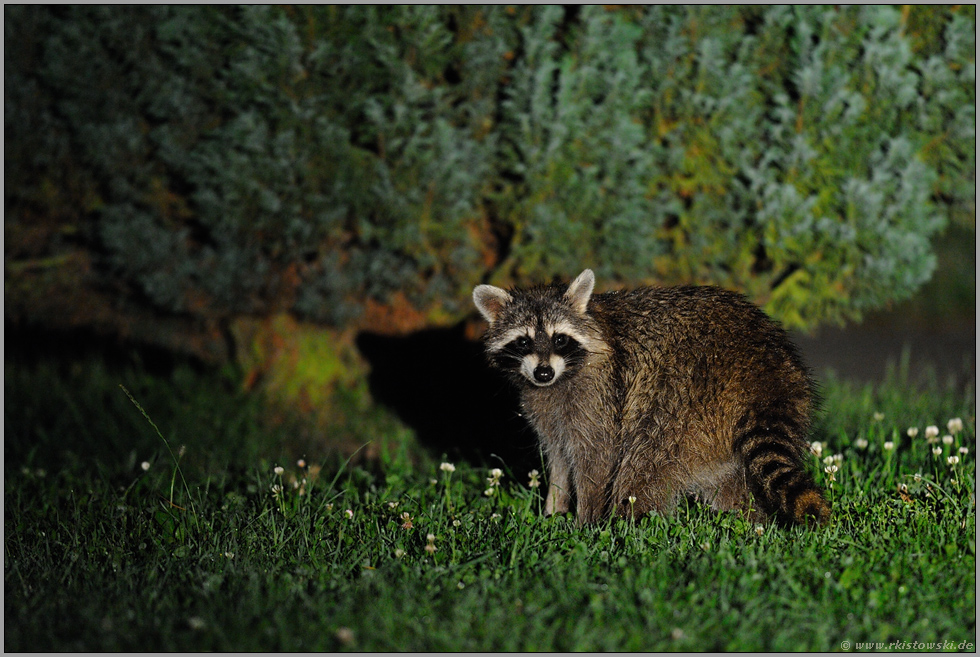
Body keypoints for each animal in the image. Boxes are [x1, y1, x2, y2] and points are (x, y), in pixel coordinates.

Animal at [470, 270, 832, 524]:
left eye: (560, 339)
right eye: (523, 342)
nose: (543, 373)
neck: (563, 376)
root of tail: (766, 368)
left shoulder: (600, 395)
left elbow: (596, 458)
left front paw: (585, 523)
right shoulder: (545, 407)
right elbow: (559, 457)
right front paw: (553, 510)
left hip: (684, 395)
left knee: (644, 466)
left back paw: (630, 527)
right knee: (728, 482)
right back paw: (750, 523)